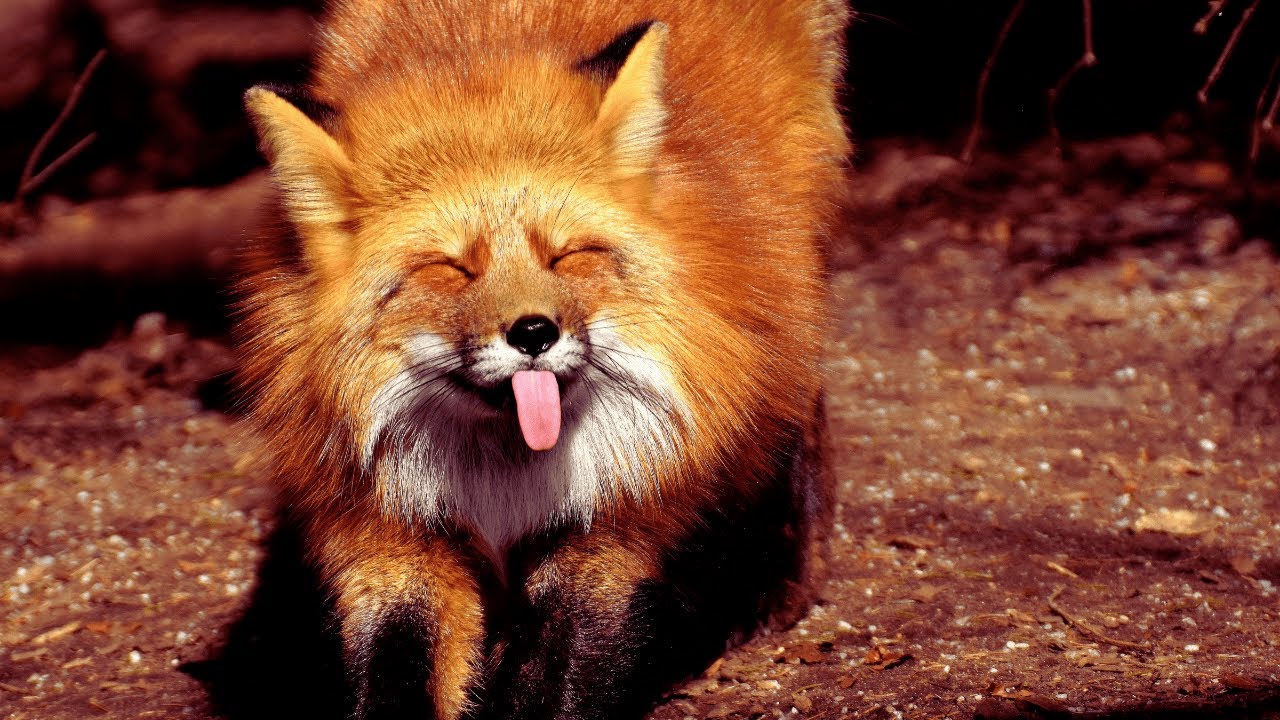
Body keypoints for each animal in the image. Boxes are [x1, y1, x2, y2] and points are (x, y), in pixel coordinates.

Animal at [237, 0, 850, 718]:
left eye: (566, 255)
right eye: (452, 268)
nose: (534, 332)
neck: (504, 482)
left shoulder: (614, 523)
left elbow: (564, 668)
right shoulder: (390, 534)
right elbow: (398, 661)